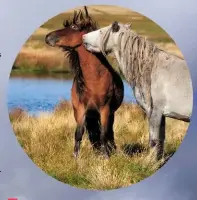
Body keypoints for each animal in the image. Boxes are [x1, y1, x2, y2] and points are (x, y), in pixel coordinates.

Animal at [45, 6, 124, 159]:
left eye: (74, 27)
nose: (47, 37)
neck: (94, 79)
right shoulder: (80, 109)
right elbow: (78, 134)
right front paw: (75, 158)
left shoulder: (105, 109)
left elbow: (104, 134)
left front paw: (106, 157)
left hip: (109, 113)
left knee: (109, 132)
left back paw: (111, 150)